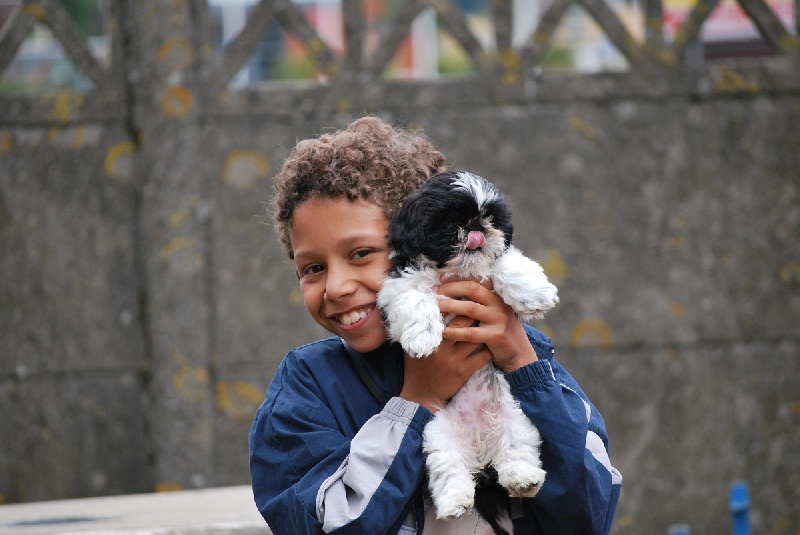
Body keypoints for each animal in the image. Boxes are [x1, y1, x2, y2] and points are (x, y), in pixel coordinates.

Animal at [377, 171, 559, 532]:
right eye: (451, 221)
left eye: (490, 218)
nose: (476, 230)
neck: (458, 271)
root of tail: (480, 445)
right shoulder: (399, 285)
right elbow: (414, 297)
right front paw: (423, 338)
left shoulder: (496, 262)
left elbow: (509, 264)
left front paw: (535, 294)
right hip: (438, 435)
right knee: (448, 469)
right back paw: (454, 502)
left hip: (514, 418)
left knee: (517, 449)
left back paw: (524, 479)